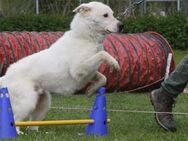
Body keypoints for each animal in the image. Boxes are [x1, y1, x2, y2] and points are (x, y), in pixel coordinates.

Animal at [0, 1, 122, 133]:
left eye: (112, 14)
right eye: (105, 15)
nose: (122, 26)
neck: (86, 38)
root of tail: (6, 76)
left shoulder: (87, 73)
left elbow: (103, 78)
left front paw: (90, 90)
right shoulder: (79, 69)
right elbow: (102, 54)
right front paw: (114, 62)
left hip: (43, 103)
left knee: (31, 125)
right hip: (27, 101)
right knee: (15, 119)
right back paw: (17, 133)